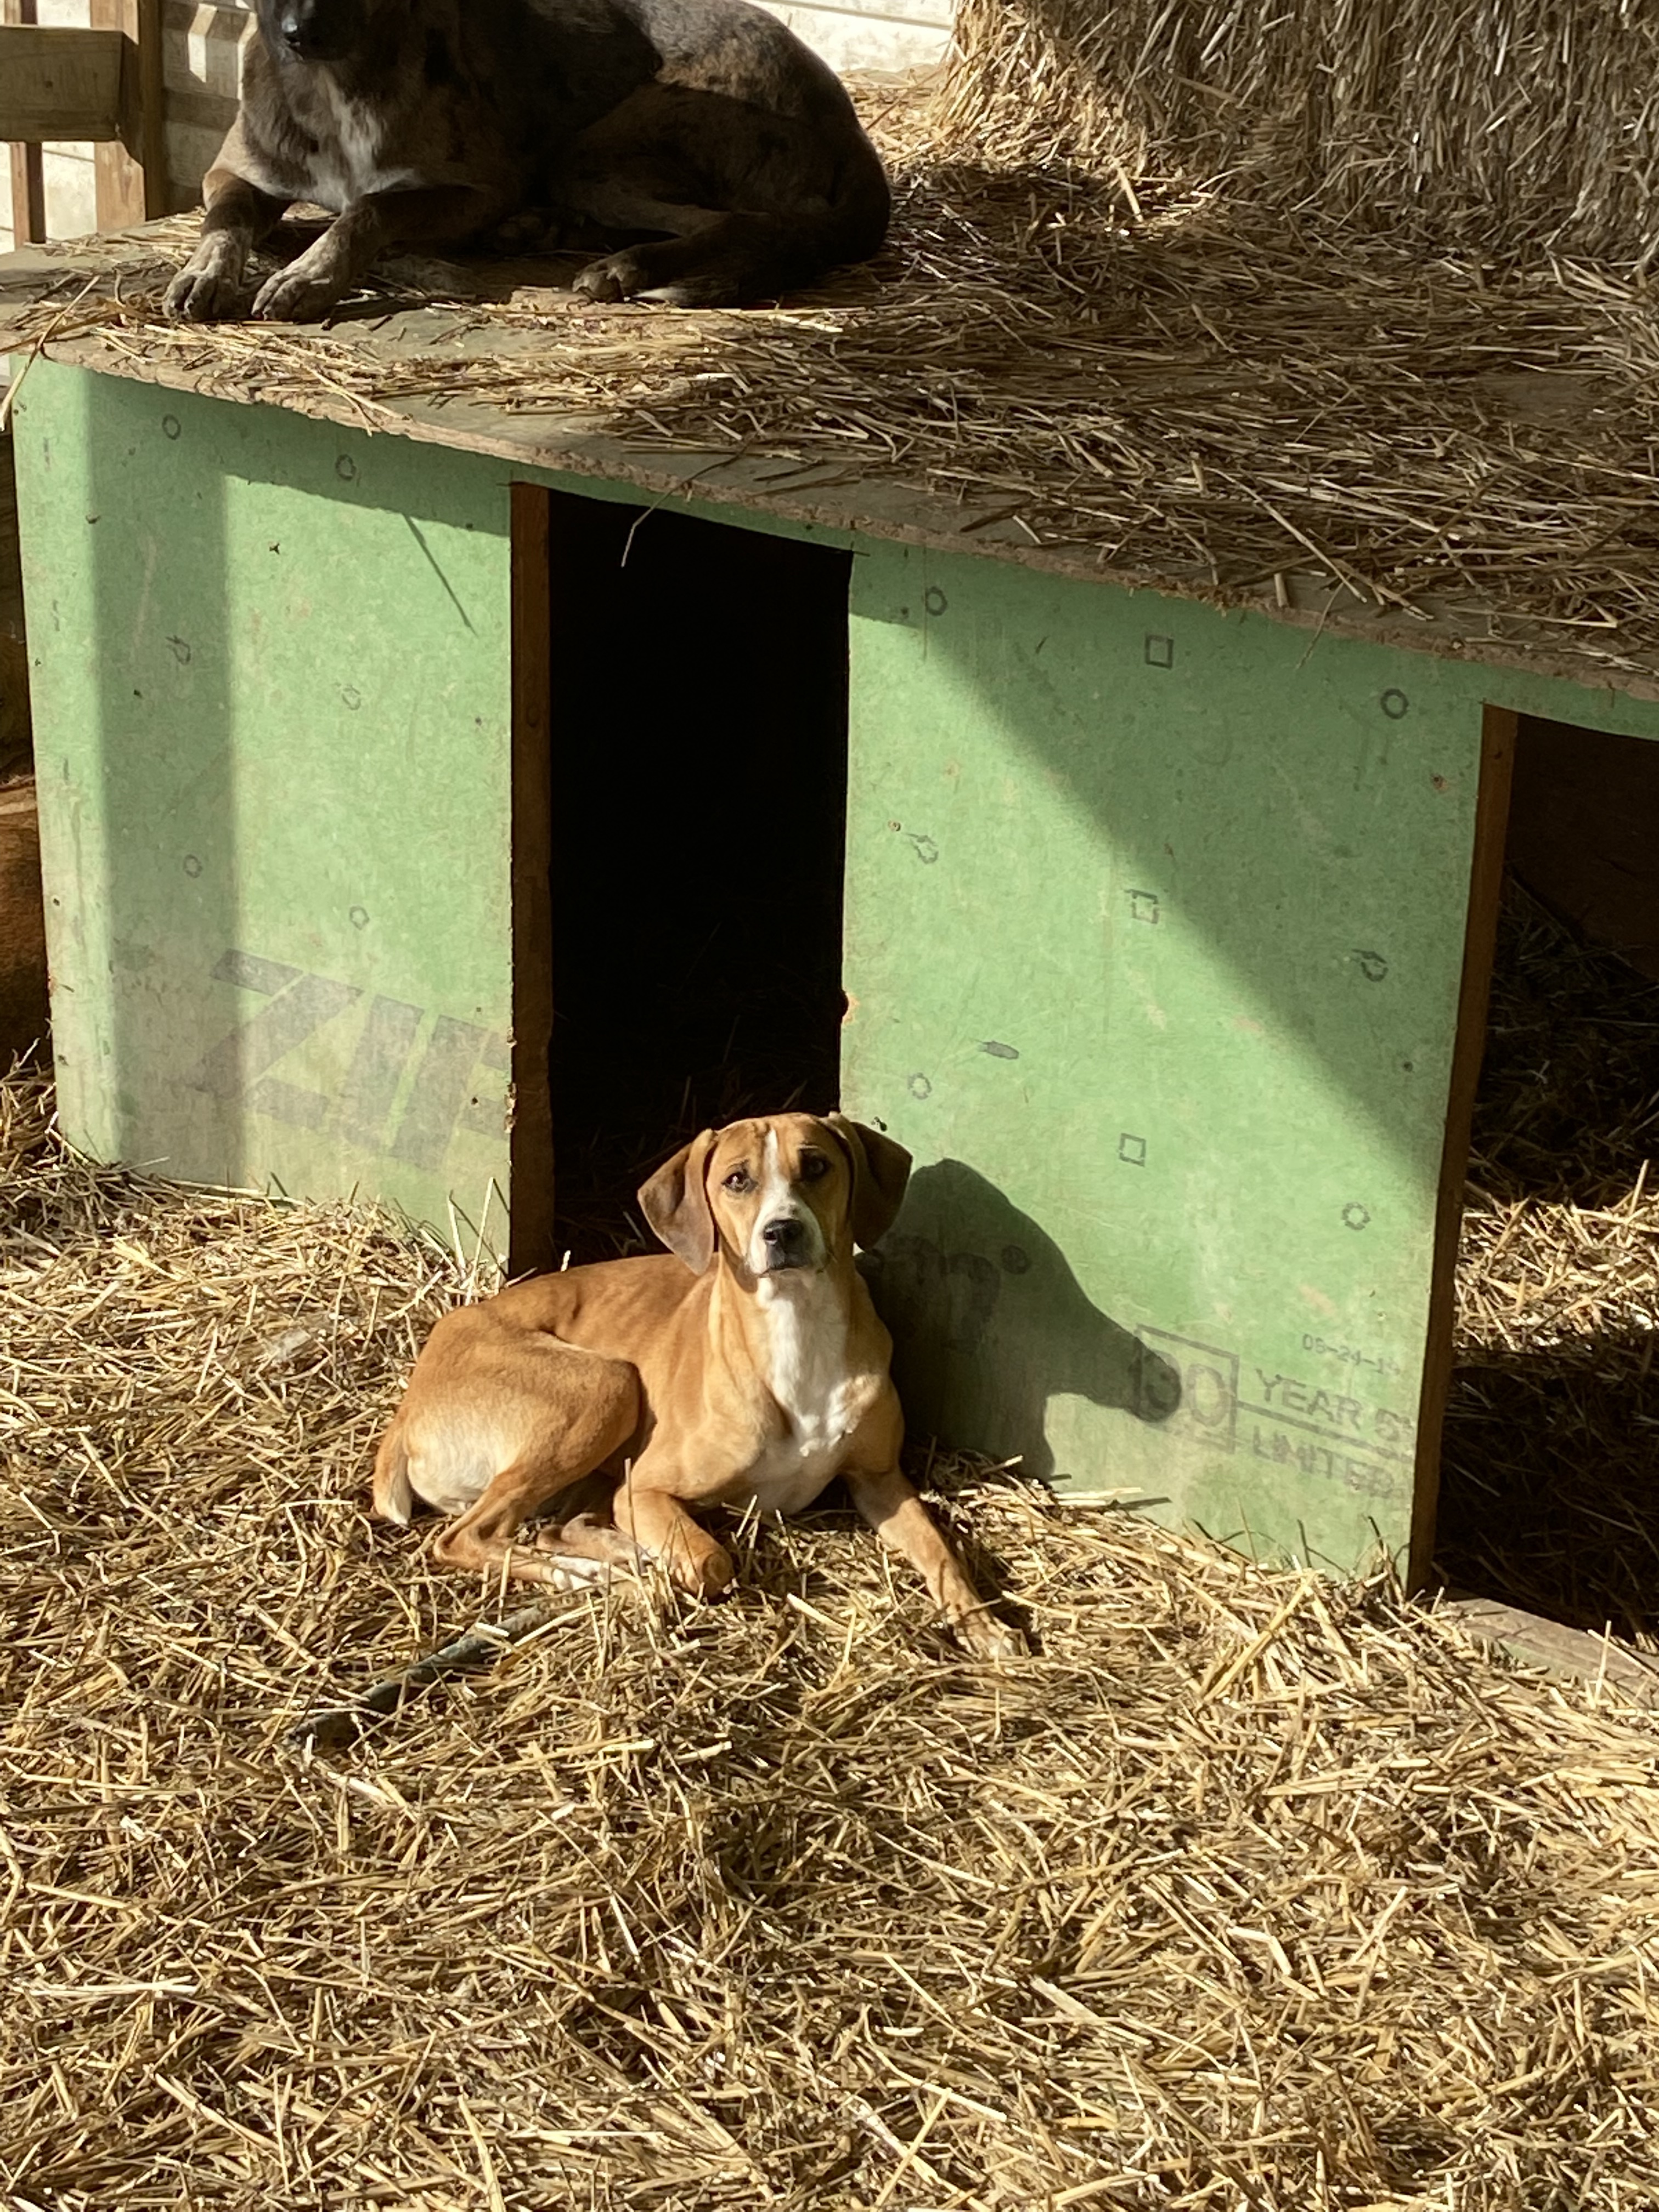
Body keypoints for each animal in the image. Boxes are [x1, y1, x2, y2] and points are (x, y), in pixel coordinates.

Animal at [167, 0, 889, 323]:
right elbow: (224, 223)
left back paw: (622, 267)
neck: (337, 81)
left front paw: (311, 275)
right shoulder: (234, 173)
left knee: (735, 223)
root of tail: (847, 123)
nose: (301, 34)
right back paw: (543, 231)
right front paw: (204, 273)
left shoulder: (483, 186)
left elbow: (370, 208)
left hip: (594, 149)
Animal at [376, 1124, 1026, 1663]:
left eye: (816, 1166)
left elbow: (942, 1554)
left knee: (556, 1527)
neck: (796, 1331)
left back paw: (615, 1557)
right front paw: (675, 1563)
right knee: (467, 1537)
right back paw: (587, 1574)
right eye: (737, 1180)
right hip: (608, 1386)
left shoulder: (880, 1479)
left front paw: (986, 1627)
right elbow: (712, 1561)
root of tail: (409, 1404)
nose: (783, 1231)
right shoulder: (646, 1487)